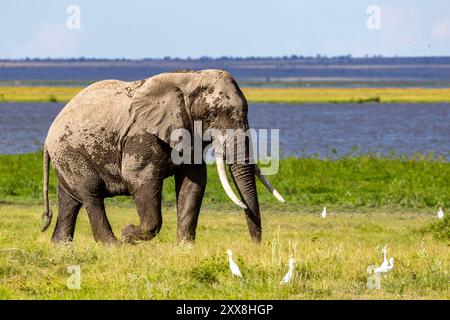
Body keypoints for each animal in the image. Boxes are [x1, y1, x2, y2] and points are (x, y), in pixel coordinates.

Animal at [40, 70, 284, 244]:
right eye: (212, 115)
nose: (256, 245)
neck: (190, 78)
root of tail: (48, 137)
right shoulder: (142, 135)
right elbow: (140, 179)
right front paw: (129, 234)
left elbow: (193, 183)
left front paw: (185, 248)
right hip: (71, 153)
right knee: (91, 197)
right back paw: (114, 245)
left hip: (65, 158)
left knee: (69, 200)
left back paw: (61, 246)